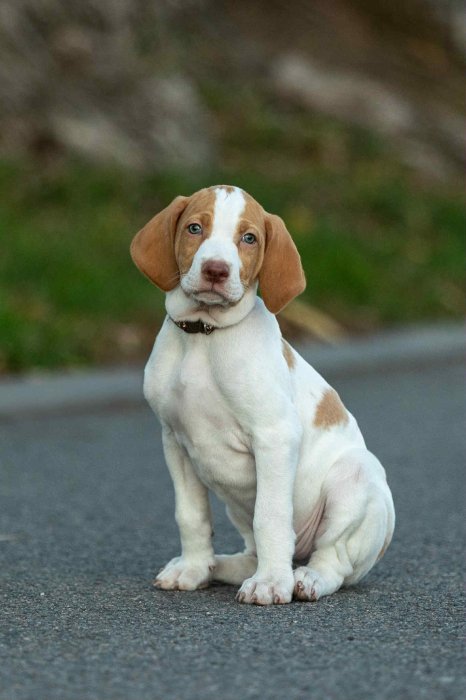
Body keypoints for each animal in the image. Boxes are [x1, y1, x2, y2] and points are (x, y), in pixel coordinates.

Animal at [130, 185, 395, 605]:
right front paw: (192, 567)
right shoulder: (174, 440)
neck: (204, 336)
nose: (216, 270)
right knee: (252, 552)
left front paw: (270, 583)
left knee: (332, 560)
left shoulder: (274, 436)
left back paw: (304, 578)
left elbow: (270, 517)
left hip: (354, 479)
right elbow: (191, 515)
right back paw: (217, 566)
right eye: (194, 228)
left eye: (249, 238)